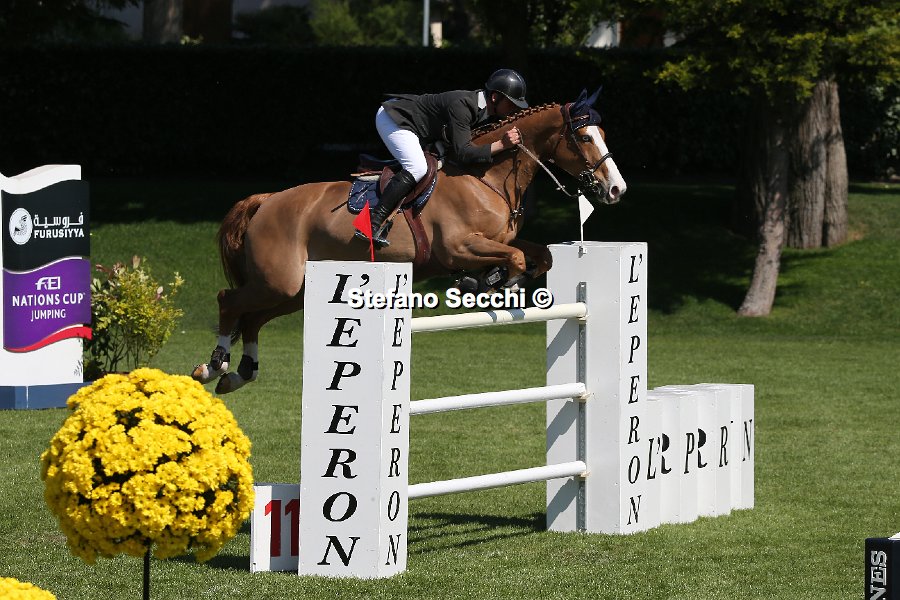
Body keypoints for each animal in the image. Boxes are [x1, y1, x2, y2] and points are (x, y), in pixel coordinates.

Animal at [192, 88, 627, 394]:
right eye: (585, 137)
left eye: (604, 133)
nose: (616, 190)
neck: (486, 175)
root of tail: (267, 201)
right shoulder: (458, 246)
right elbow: (517, 261)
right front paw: (486, 282)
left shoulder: (499, 241)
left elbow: (539, 256)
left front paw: (485, 280)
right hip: (277, 281)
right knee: (228, 301)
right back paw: (213, 366)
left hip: (293, 290)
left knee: (252, 318)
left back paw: (238, 375)